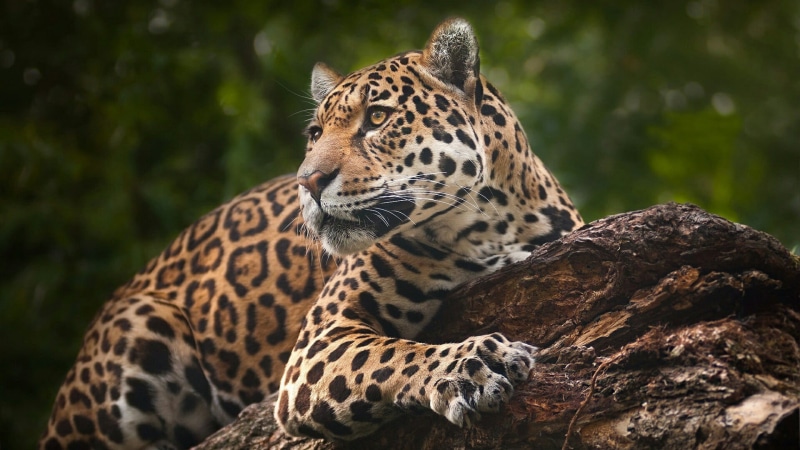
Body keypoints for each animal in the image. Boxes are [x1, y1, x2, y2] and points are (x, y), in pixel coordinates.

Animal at [39, 18, 583, 449]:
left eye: (377, 117)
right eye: (315, 134)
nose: (308, 181)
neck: (489, 227)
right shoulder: (317, 343)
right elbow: (390, 354)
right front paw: (472, 364)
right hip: (141, 326)